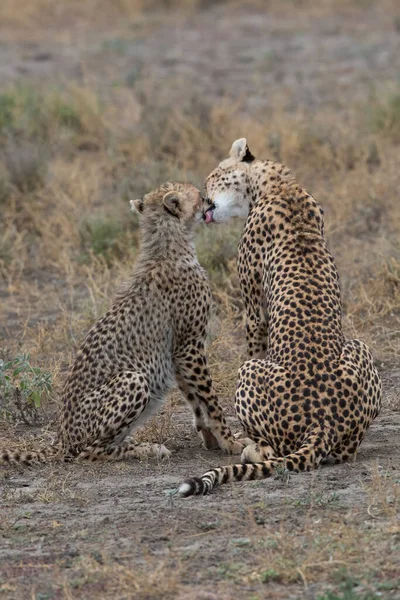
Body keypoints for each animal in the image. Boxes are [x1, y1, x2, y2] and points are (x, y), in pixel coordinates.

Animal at [1, 180, 242, 466]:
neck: (169, 246)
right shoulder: (189, 345)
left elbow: (194, 398)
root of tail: (62, 439)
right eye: (199, 195)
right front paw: (231, 442)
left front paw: (211, 439)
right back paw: (145, 449)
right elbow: (210, 399)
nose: (210, 203)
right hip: (132, 379)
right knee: (89, 452)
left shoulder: (177, 351)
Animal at [180, 141, 382, 496]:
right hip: (360, 348)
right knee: (345, 453)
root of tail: (323, 422)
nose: (204, 203)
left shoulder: (253, 311)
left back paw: (251, 448)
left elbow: (254, 338)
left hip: (249, 372)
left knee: (274, 451)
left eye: (212, 178)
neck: (277, 184)